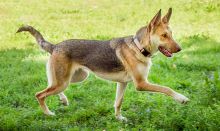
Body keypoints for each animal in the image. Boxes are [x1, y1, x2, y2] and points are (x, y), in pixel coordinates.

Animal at [16, 7, 189, 121]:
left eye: (171, 34)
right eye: (164, 35)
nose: (180, 49)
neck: (138, 47)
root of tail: (55, 46)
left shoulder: (123, 83)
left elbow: (118, 103)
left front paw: (119, 118)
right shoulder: (141, 84)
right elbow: (166, 88)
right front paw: (181, 99)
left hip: (75, 77)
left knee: (50, 86)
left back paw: (63, 100)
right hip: (64, 81)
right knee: (40, 94)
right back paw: (48, 113)